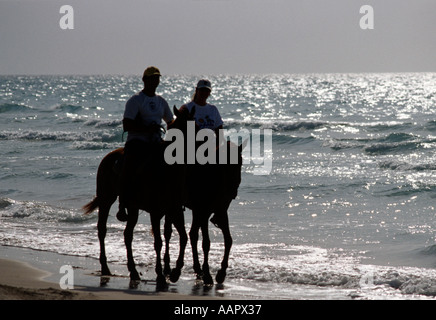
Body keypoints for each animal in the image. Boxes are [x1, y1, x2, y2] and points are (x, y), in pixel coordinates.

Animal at [82, 109, 190, 286]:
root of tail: (108, 157)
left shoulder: (174, 210)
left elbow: (182, 236)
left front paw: (174, 272)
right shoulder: (155, 212)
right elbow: (158, 242)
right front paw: (161, 276)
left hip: (132, 207)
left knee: (128, 235)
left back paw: (133, 271)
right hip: (106, 197)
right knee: (102, 229)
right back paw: (105, 268)